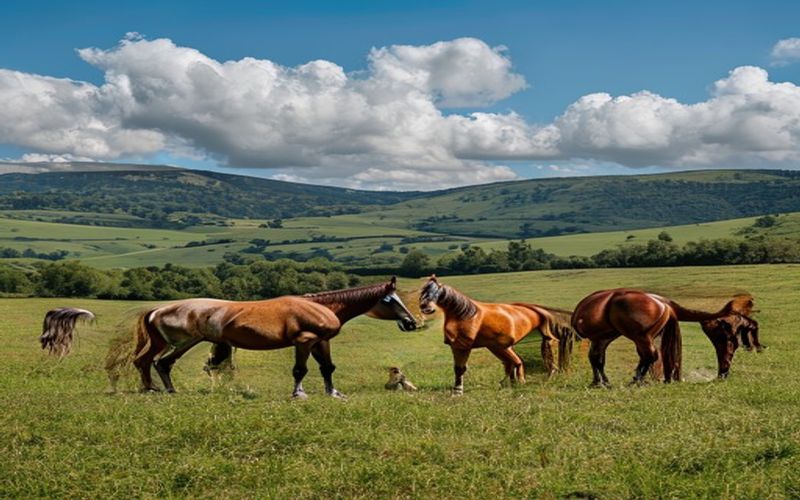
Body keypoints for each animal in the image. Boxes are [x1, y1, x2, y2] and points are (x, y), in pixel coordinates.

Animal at [121, 277, 418, 399]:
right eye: (391, 300)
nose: (411, 322)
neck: (320, 306)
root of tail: (158, 309)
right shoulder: (304, 342)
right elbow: (300, 370)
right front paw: (299, 393)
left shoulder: (321, 342)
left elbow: (327, 368)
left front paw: (332, 392)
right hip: (183, 342)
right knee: (161, 363)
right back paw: (166, 390)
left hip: (168, 343)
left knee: (147, 362)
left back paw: (153, 388)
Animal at [419, 275, 575, 395]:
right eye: (422, 292)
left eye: (436, 291)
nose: (425, 307)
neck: (464, 314)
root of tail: (534, 309)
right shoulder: (455, 346)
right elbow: (458, 369)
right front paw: (457, 389)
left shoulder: (463, 346)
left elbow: (460, 369)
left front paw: (457, 391)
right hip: (499, 347)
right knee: (515, 362)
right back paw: (512, 382)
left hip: (504, 347)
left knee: (530, 357)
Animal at [571, 289, 752, 387]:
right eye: (727, 337)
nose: (724, 371)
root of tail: (665, 303)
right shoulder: (601, 339)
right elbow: (597, 360)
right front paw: (600, 382)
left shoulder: (599, 339)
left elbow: (596, 359)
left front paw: (601, 382)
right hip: (641, 338)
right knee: (647, 357)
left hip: (641, 337)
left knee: (649, 356)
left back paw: (637, 381)